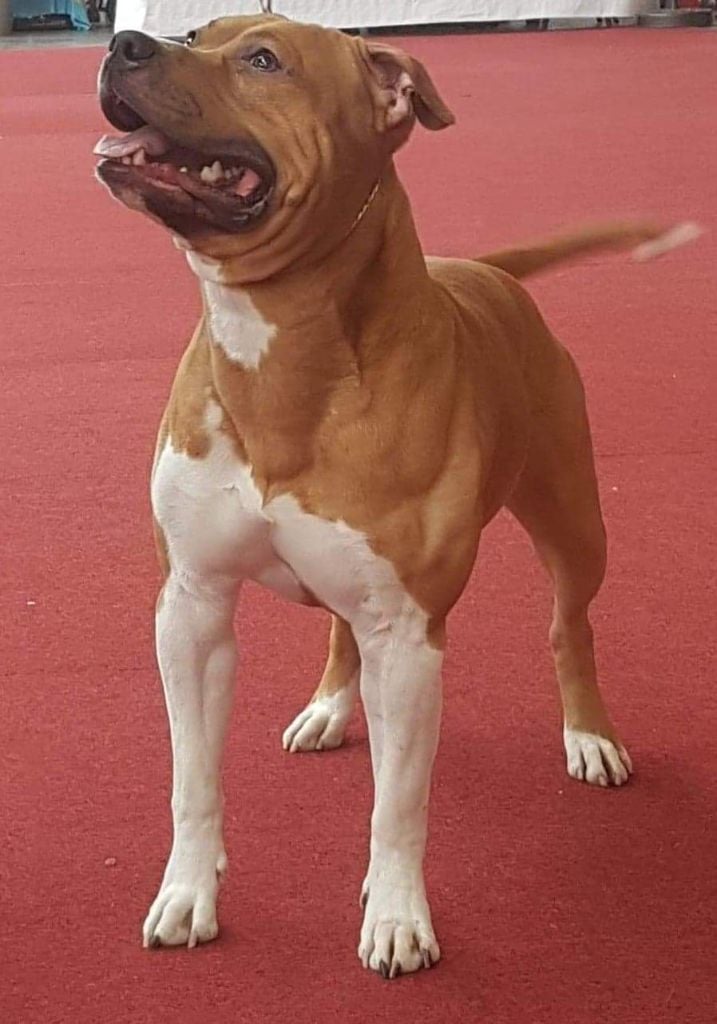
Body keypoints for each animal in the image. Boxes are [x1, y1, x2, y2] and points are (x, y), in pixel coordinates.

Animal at [94, 15, 697, 978]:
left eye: (263, 60)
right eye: (196, 31)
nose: (124, 45)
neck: (283, 354)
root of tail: (486, 272)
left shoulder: (410, 638)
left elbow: (398, 804)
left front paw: (396, 916)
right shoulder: (191, 607)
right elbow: (192, 777)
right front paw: (188, 890)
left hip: (574, 522)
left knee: (568, 626)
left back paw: (588, 736)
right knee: (341, 632)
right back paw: (331, 707)